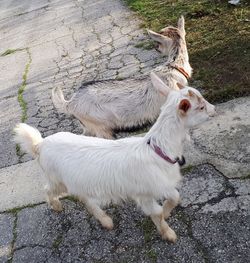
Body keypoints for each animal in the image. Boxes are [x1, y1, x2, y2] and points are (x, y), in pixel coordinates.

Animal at [13, 72, 216, 243]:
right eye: (201, 107)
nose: (214, 109)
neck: (158, 149)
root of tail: (39, 145)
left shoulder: (162, 185)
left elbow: (175, 197)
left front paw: (167, 215)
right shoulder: (145, 192)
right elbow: (156, 212)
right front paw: (168, 233)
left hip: (77, 180)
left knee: (85, 199)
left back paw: (105, 221)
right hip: (57, 179)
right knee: (49, 190)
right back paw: (57, 206)